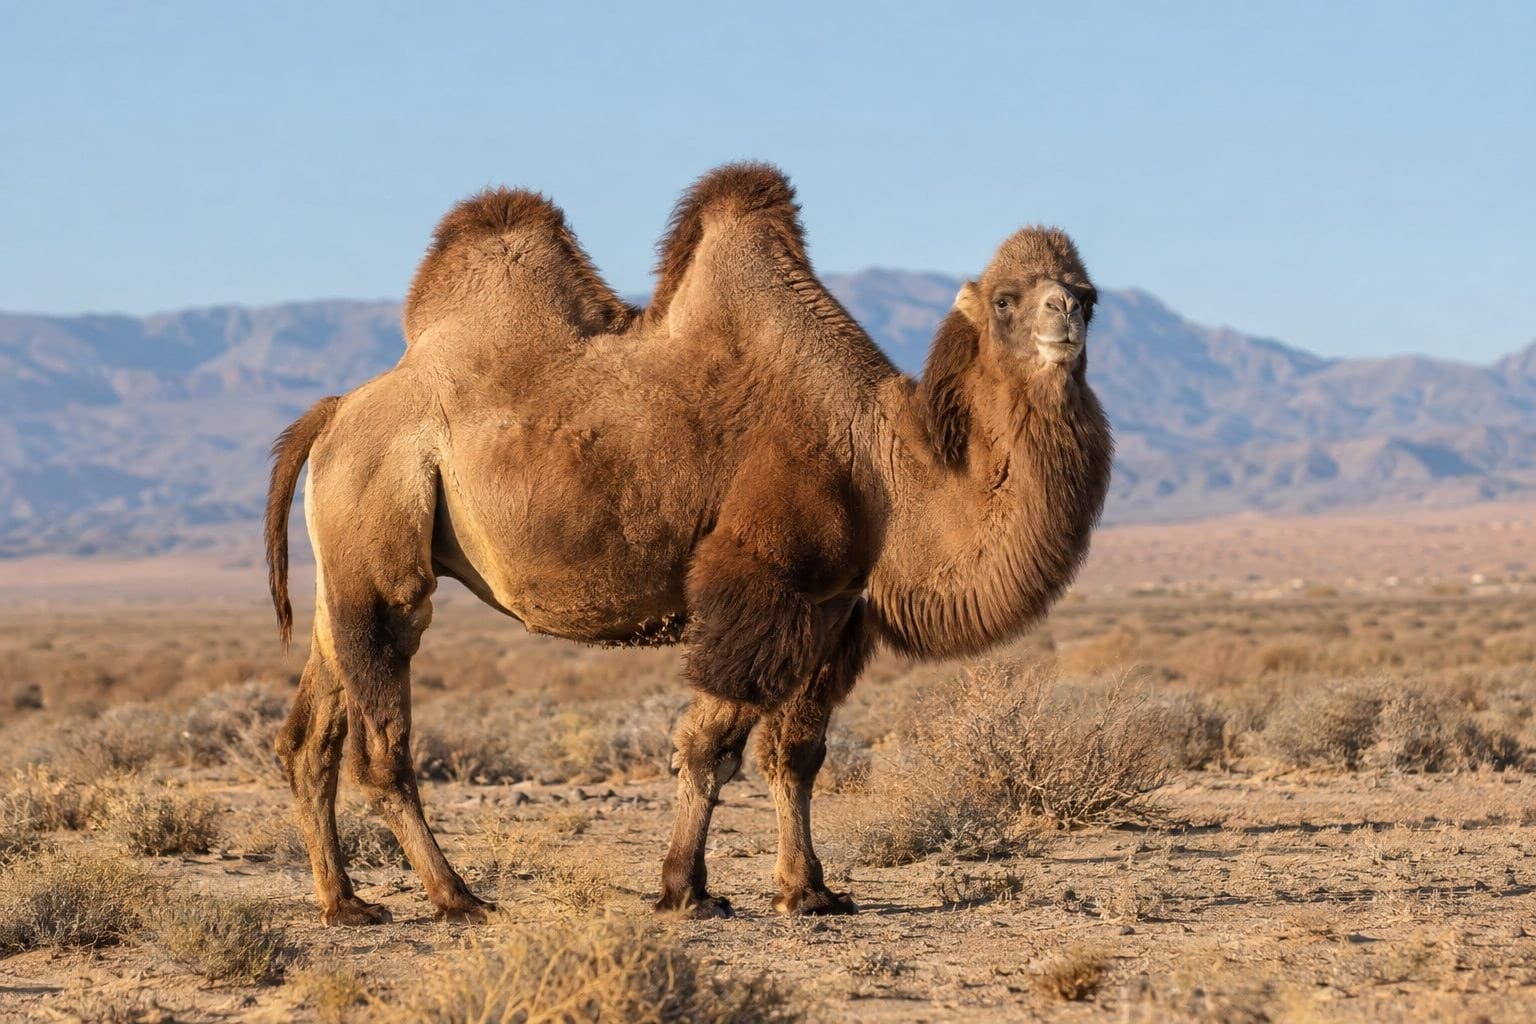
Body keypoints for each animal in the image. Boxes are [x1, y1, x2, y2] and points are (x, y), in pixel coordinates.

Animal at [264, 162, 1113, 925]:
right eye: (1005, 299)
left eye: (1089, 296)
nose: (1063, 319)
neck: (885, 465)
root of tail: (334, 411)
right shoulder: (762, 584)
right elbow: (710, 744)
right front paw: (685, 890)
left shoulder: (833, 608)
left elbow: (796, 753)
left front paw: (809, 891)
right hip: (381, 531)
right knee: (383, 737)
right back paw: (456, 898)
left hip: (340, 576)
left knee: (309, 735)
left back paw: (346, 904)